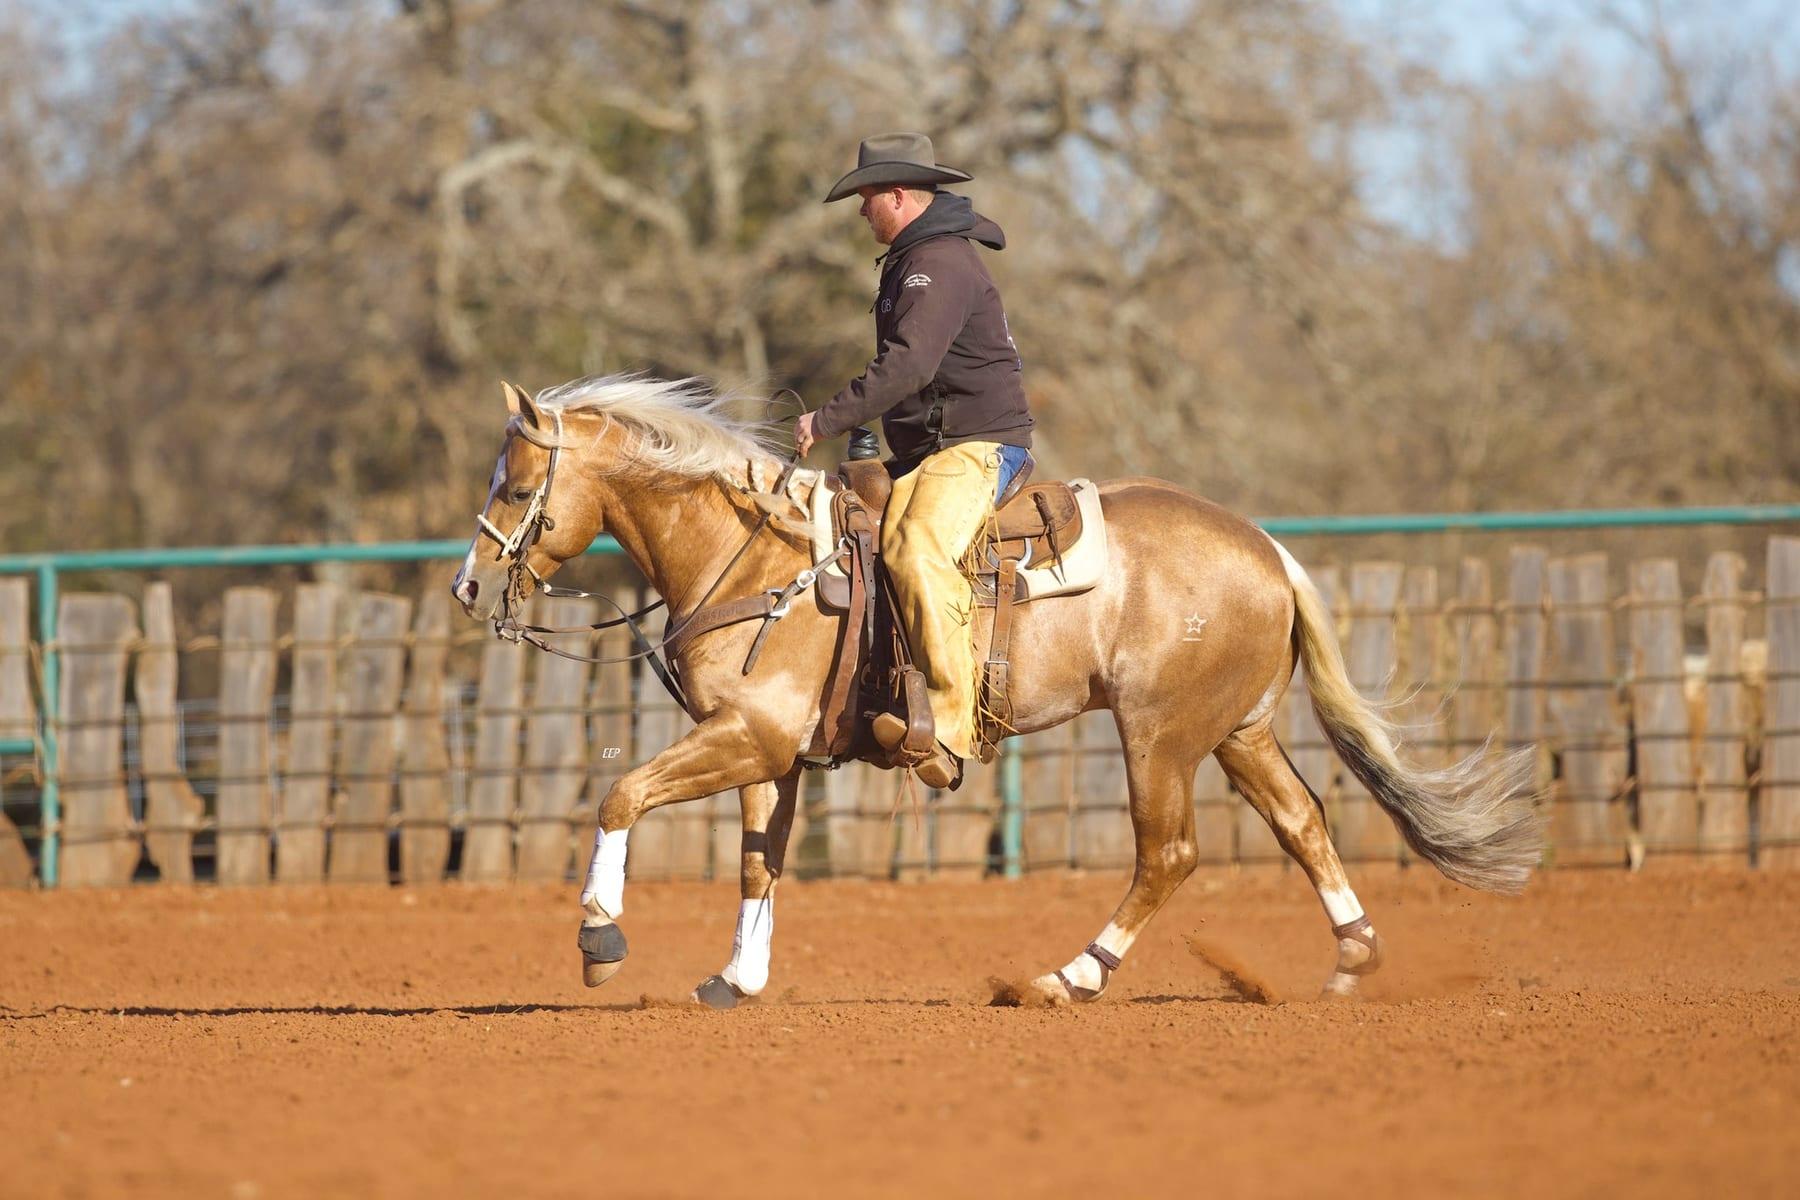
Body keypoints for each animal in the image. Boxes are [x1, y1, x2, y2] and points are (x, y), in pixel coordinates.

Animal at [450, 374, 1542, 1008]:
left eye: (517, 486)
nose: (467, 585)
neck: (758, 554)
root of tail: (1270, 549)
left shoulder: (748, 735)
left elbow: (620, 793)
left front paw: (599, 938)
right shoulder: (767, 749)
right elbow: (762, 860)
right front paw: (737, 978)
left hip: (1157, 735)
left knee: (1169, 854)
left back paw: (1071, 976)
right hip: (1239, 732)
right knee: (1302, 823)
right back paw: (1351, 959)